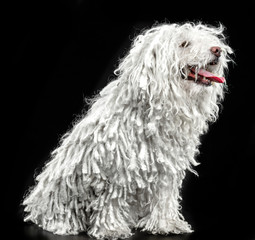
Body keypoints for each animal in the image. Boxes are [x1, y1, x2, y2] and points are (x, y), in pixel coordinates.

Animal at [22, 22, 233, 238]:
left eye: (210, 41)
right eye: (184, 44)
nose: (217, 50)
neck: (153, 115)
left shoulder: (167, 169)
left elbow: (163, 196)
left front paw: (165, 224)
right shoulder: (116, 169)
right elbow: (112, 199)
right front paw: (111, 229)